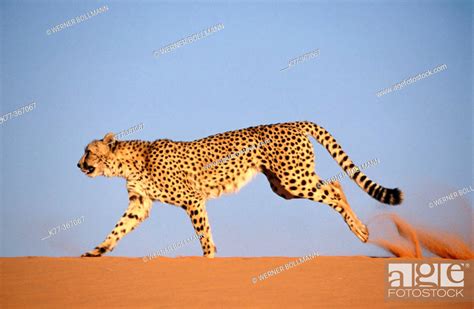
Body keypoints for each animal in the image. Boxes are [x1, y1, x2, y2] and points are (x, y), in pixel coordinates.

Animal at [78, 121, 404, 256]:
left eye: (88, 151)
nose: (78, 164)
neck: (126, 162)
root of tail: (293, 121)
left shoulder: (193, 200)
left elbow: (204, 235)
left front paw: (210, 259)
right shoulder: (140, 204)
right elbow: (118, 229)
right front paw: (96, 251)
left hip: (294, 179)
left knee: (335, 190)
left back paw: (361, 231)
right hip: (284, 186)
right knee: (335, 183)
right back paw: (360, 229)